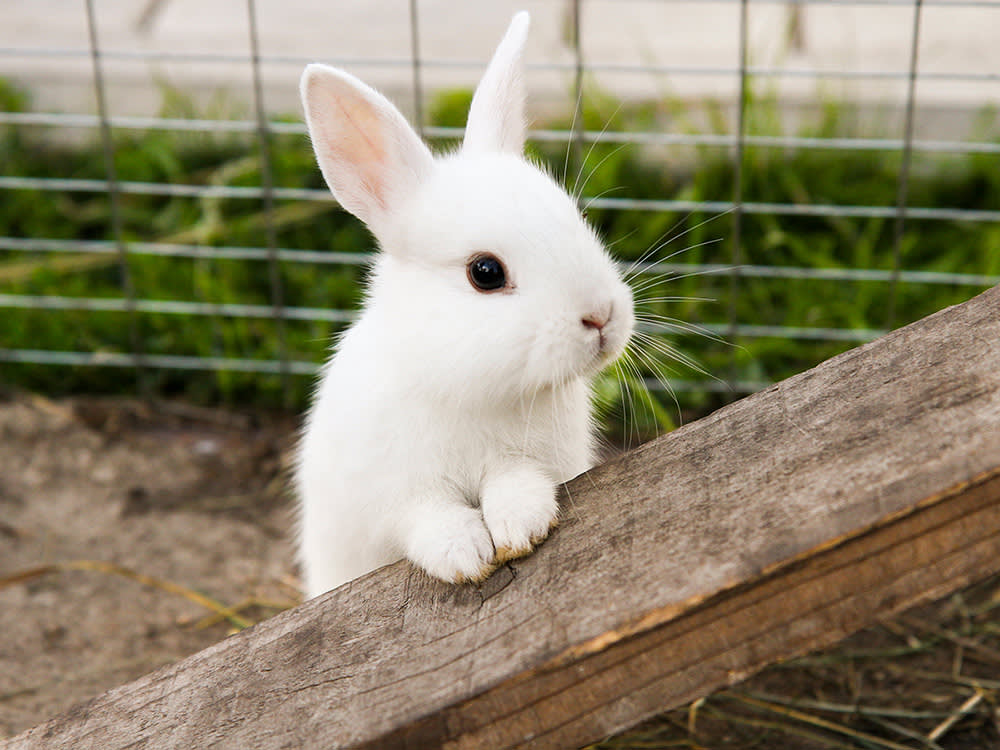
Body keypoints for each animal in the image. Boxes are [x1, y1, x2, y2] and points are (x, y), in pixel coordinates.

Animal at [295, 11, 635, 599]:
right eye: (486, 272)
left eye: (576, 218)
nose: (601, 317)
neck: (472, 389)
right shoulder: (395, 496)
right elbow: (427, 519)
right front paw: (465, 554)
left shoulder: (534, 461)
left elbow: (516, 483)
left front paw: (520, 526)